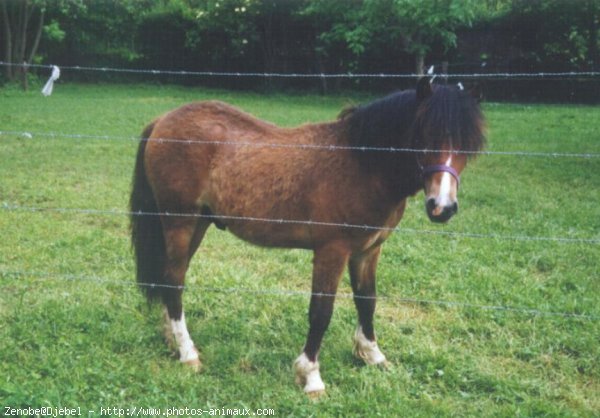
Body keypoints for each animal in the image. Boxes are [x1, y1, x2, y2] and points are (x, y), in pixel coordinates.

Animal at [130, 78, 482, 396]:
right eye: (423, 134)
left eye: (468, 143)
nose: (442, 207)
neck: (362, 164)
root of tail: (163, 120)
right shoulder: (332, 251)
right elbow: (321, 312)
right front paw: (311, 377)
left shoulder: (368, 251)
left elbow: (367, 300)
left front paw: (372, 355)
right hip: (180, 221)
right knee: (175, 280)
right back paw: (189, 353)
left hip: (196, 225)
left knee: (170, 278)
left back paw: (172, 340)